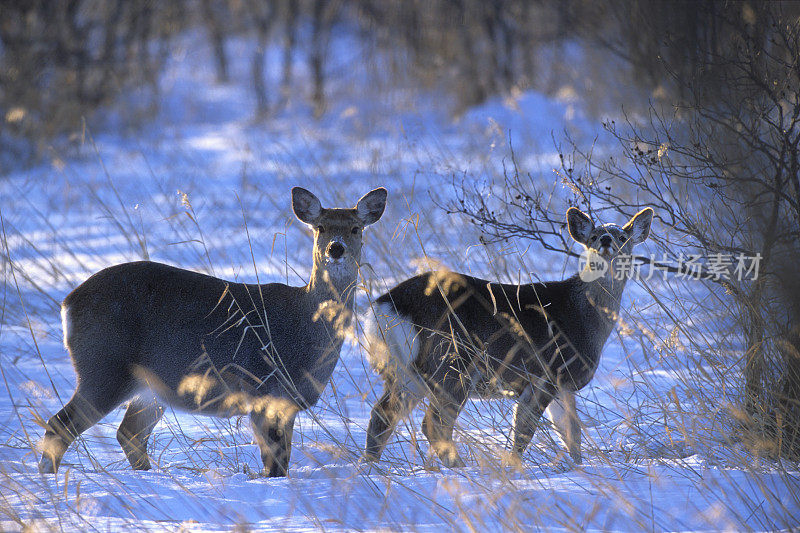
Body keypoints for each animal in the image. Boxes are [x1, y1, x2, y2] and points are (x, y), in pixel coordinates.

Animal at [39, 186, 388, 474]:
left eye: (355, 228)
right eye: (320, 227)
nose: (336, 249)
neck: (304, 328)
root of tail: (68, 303)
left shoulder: (285, 401)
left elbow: (281, 463)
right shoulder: (261, 387)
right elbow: (274, 465)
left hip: (150, 386)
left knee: (128, 433)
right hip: (104, 366)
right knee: (60, 425)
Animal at [362, 206, 648, 468]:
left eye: (623, 237)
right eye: (594, 236)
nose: (606, 241)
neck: (582, 316)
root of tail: (388, 304)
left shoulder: (563, 385)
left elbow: (571, 435)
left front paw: (578, 468)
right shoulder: (544, 374)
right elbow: (524, 432)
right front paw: (513, 468)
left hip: (409, 372)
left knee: (382, 415)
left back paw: (371, 465)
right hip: (453, 363)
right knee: (434, 423)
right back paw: (461, 468)